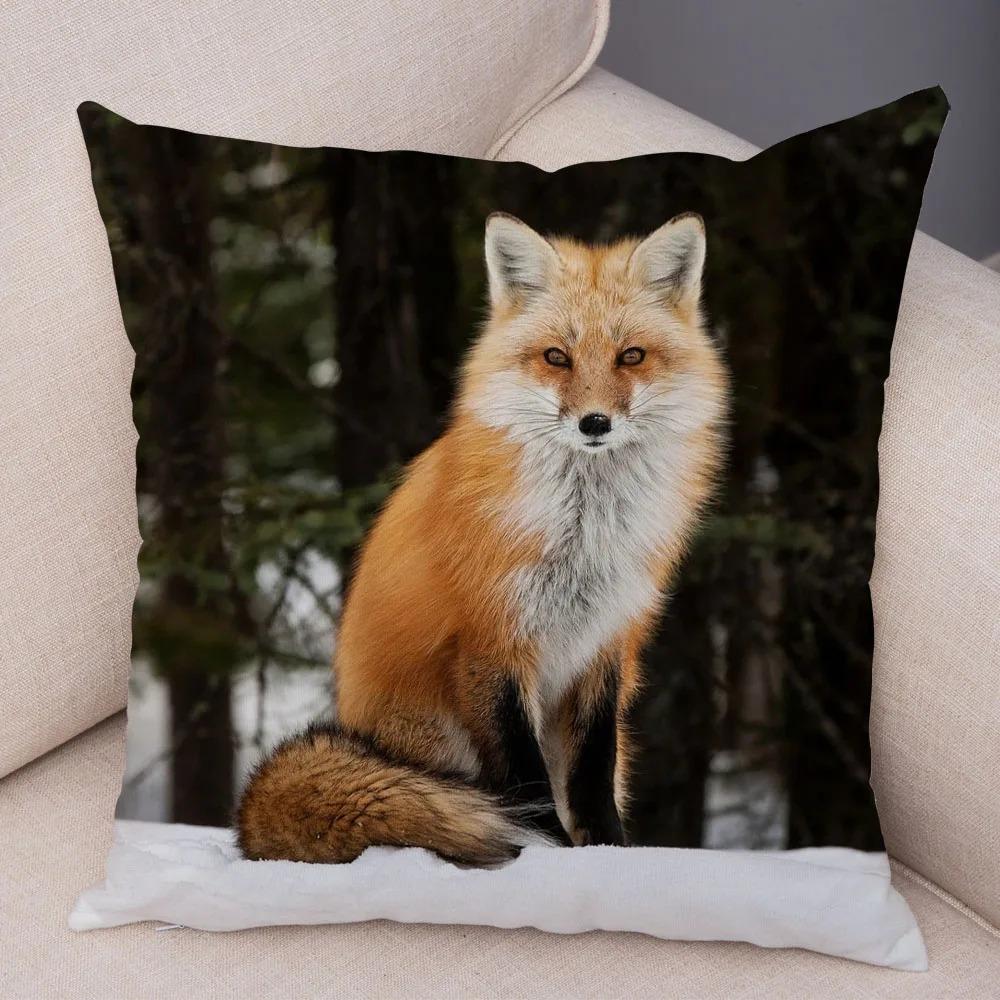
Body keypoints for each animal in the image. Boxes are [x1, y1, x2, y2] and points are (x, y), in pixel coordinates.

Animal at [237, 211, 729, 867]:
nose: (595, 422)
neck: (582, 536)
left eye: (631, 356)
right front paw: (547, 852)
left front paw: (609, 853)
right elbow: (526, 783)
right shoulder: (490, 644)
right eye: (556, 357)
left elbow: (591, 777)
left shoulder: (606, 646)